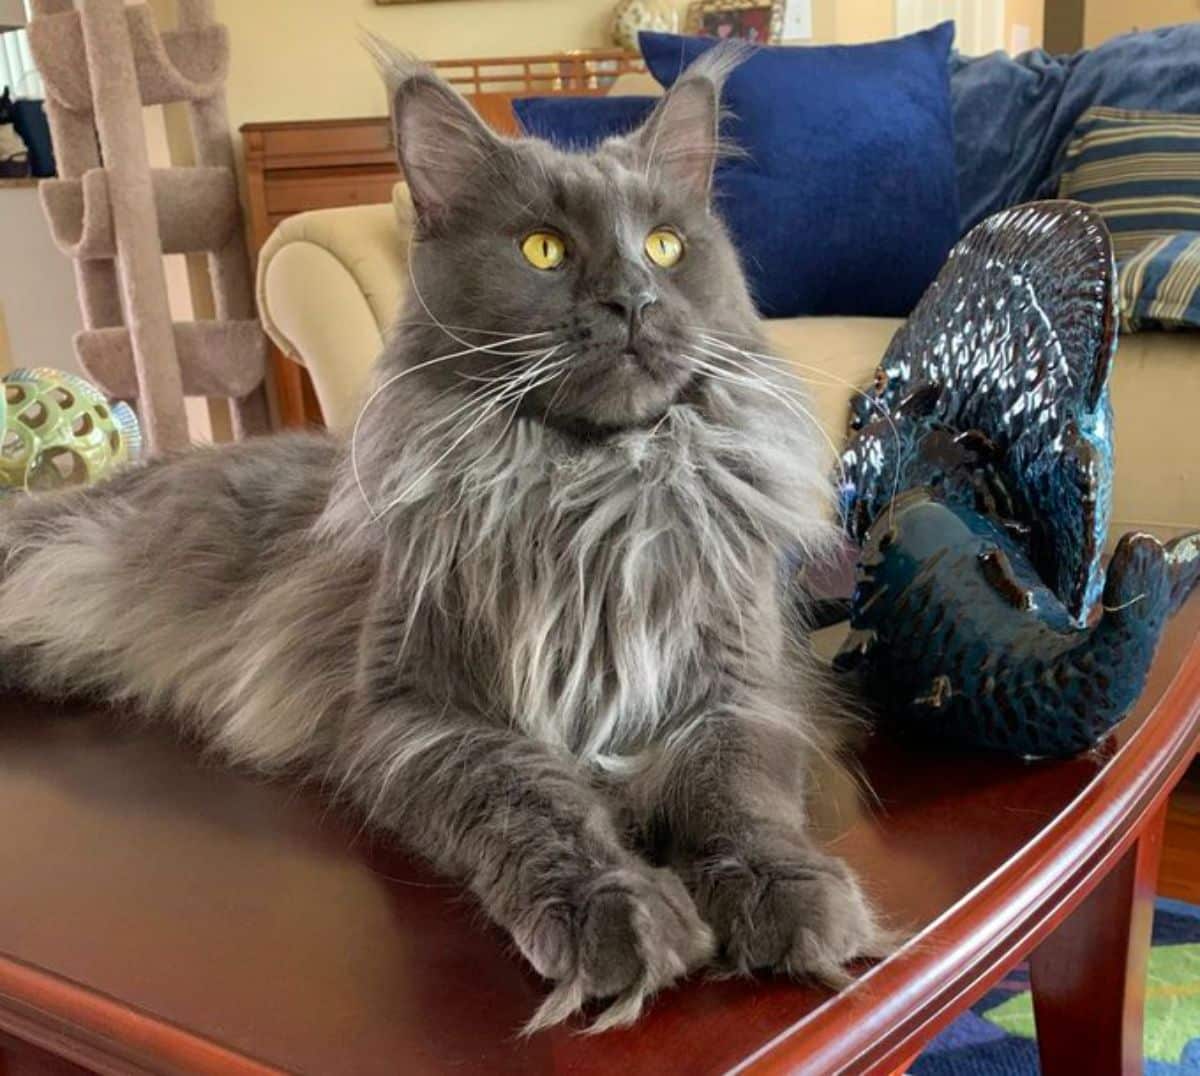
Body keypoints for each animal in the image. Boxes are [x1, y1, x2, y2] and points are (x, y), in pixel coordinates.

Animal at [0, 41, 888, 1026]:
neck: (592, 490)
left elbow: (741, 797)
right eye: (543, 249)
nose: (633, 300)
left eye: (665, 245)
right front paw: (611, 913)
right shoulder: (420, 715)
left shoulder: (737, 692)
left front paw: (786, 893)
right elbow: (532, 806)